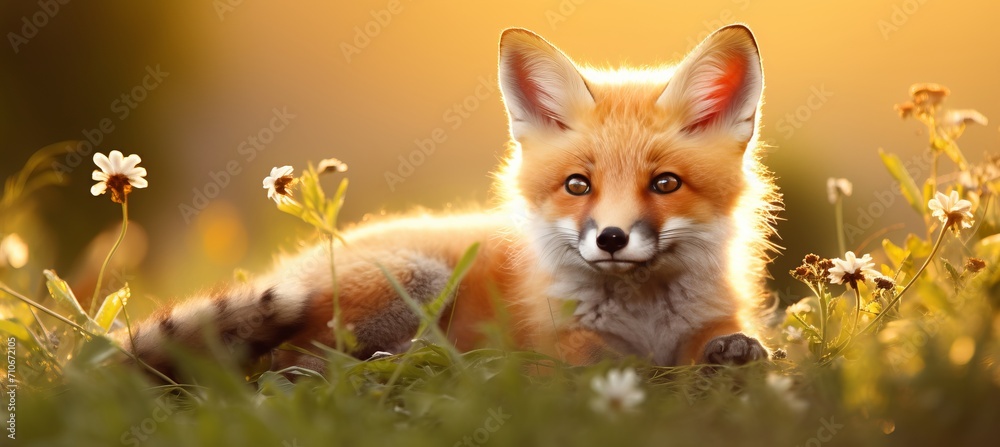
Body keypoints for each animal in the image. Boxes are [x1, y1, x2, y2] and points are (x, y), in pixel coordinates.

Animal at [115, 24, 779, 375]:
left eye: (664, 183)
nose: (611, 239)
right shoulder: (558, 340)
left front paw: (730, 352)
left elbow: (726, 341)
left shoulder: (711, 319)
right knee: (293, 366)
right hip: (417, 282)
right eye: (577, 185)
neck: (644, 315)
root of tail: (291, 263)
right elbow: (602, 356)